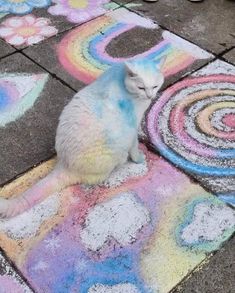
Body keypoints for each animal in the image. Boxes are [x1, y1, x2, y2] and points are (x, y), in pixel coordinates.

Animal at [0, 57, 165, 217]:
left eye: (155, 86)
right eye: (141, 88)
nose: (150, 96)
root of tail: (64, 165)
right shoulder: (132, 128)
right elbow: (135, 146)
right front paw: (139, 159)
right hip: (115, 152)